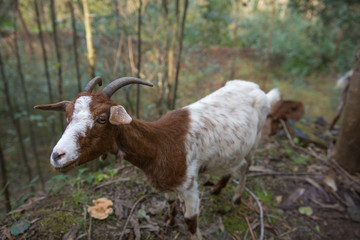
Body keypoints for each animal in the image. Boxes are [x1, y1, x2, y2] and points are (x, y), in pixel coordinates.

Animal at [34, 77, 282, 240]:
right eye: (67, 116)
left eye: (102, 119)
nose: (57, 156)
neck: (161, 145)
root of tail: (259, 89)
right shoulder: (167, 181)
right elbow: (170, 202)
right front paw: (168, 222)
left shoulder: (189, 186)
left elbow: (191, 221)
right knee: (234, 164)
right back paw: (218, 188)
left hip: (256, 139)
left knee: (246, 167)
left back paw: (237, 198)